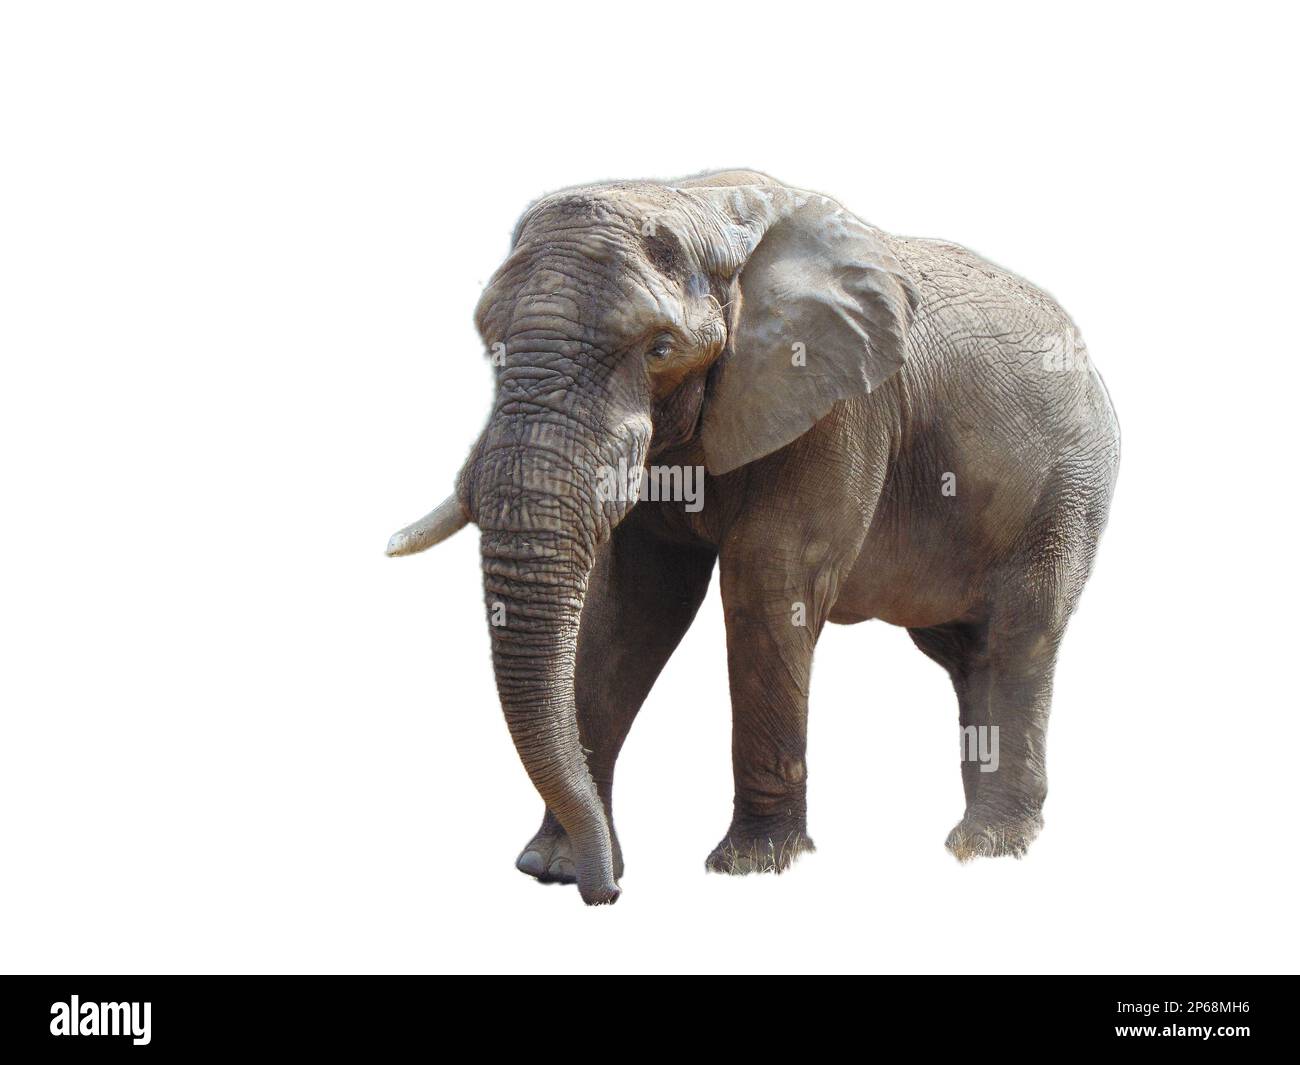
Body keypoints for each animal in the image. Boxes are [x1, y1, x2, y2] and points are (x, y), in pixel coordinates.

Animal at [387, 169, 1119, 905]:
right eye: (489, 340)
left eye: (660, 350)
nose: (610, 892)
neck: (699, 205)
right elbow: (634, 604)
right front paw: (553, 866)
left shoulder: (839, 407)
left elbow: (768, 583)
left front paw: (750, 865)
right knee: (965, 652)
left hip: (1066, 491)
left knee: (1018, 638)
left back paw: (987, 847)